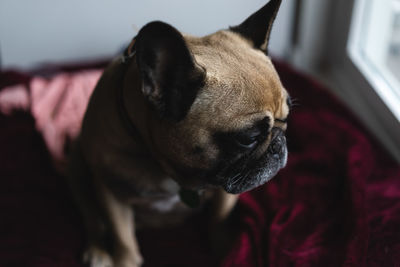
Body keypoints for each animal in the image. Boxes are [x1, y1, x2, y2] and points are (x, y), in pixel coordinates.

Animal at [66, 1, 290, 266]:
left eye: (287, 119)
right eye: (248, 139)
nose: (279, 144)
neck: (165, 164)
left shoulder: (226, 191)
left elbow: (219, 218)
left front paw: (226, 250)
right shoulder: (111, 193)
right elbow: (123, 239)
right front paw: (123, 259)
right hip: (77, 166)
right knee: (91, 216)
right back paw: (98, 251)